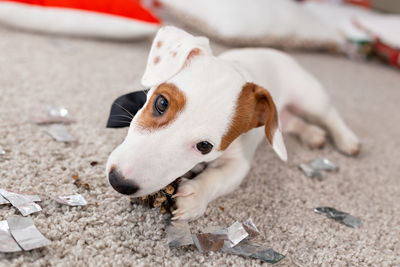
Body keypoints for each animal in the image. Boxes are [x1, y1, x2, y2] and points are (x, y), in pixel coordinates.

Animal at [105, 25, 360, 222]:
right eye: (161, 102)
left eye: (205, 146)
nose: (119, 181)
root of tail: (280, 54)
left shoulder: (239, 162)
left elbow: (217, 177)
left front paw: (194, 196)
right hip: (282, 119)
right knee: (289, 125)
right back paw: (312, 134)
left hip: (310, 98)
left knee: (330, 116)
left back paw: (347, 140)